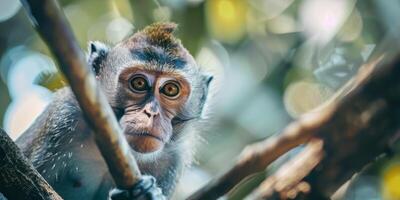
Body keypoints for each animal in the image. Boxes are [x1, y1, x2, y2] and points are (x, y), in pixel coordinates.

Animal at [16, 22, 212, 200]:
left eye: (170, 89)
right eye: (139, 83)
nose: (151, 112)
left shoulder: (173, 160)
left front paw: (146, 194)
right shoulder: (63, 119)